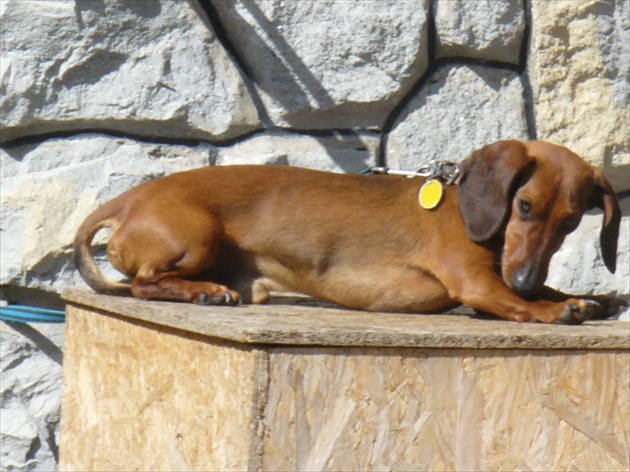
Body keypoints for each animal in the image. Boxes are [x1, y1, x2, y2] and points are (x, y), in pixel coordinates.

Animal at [75, 138, 628, 322]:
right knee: (143, 283)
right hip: (197, 237)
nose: (527, 280)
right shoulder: (477, 282)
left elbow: (548, 288)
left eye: (571, 223)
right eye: (524, 206)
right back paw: (204, 292)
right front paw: (555, 309)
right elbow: (517, 305)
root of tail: (128, 199)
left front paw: (585, 297)